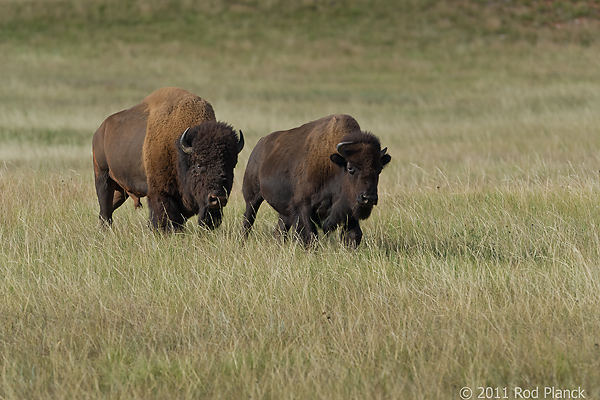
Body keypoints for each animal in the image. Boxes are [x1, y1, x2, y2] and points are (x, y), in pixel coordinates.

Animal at [92, 87, 243, 231]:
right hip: (103, 178)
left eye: (232, 165)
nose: (218, 198)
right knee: (105, 209)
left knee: (108, 209)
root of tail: (100, 131)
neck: (179, 149)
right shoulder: (161, 193)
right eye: (199, 164)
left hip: (120, 190)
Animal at [241, 113, 392, 247]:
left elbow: (353, 235)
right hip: (252, 198)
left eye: (379, 169)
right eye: (350, 168)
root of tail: (259, 145)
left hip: (284, 211)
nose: (369, 198)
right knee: (248, 222)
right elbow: (310, 236)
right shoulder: (303, 206)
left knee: (279, 231)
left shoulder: (349, 209)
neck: (335, 166)